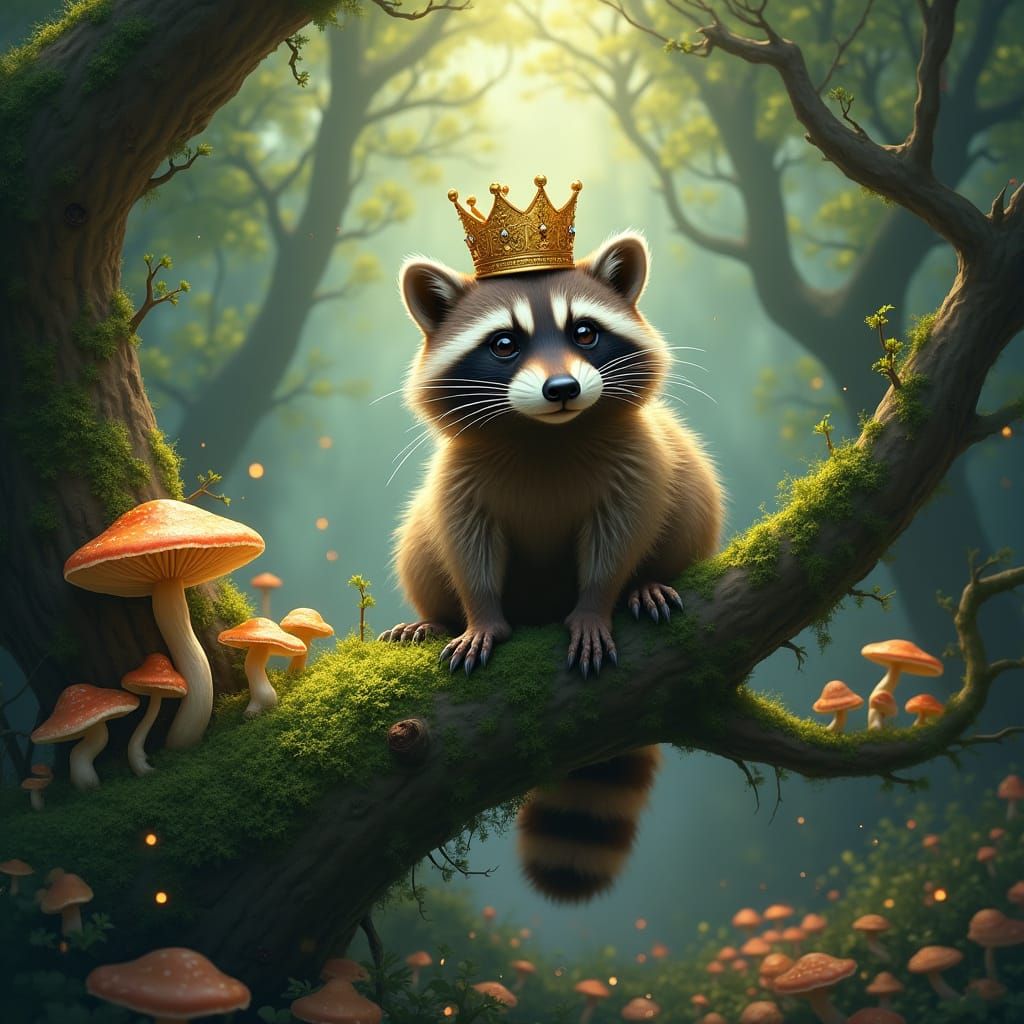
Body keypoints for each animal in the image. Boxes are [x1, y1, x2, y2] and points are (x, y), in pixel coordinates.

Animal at [382, 231, 724, 901]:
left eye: (585, 332)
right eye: (504, 344)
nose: (563, 388)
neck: (544, 433)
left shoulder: (635, 462)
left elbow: (620, 536)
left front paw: (596, 603)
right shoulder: (460, 479)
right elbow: (466, 546)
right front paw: (479, 618)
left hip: (690, 490)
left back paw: (646, 586)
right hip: (420, 532)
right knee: (421, 539)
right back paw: (431, 619)